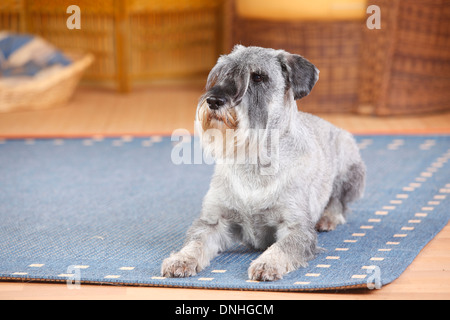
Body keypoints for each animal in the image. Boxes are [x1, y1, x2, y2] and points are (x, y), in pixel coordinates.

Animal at [162, 45, 366, 280]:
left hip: (349, 165)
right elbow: (196, 242)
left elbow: (281, 247)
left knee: (339, 202)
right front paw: (181, 259)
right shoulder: (214, 221)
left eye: (258, 77)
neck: (254, 160)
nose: (213, 101)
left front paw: (267, 264)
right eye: (222, 73)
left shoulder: (295, 227)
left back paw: (328, 218)